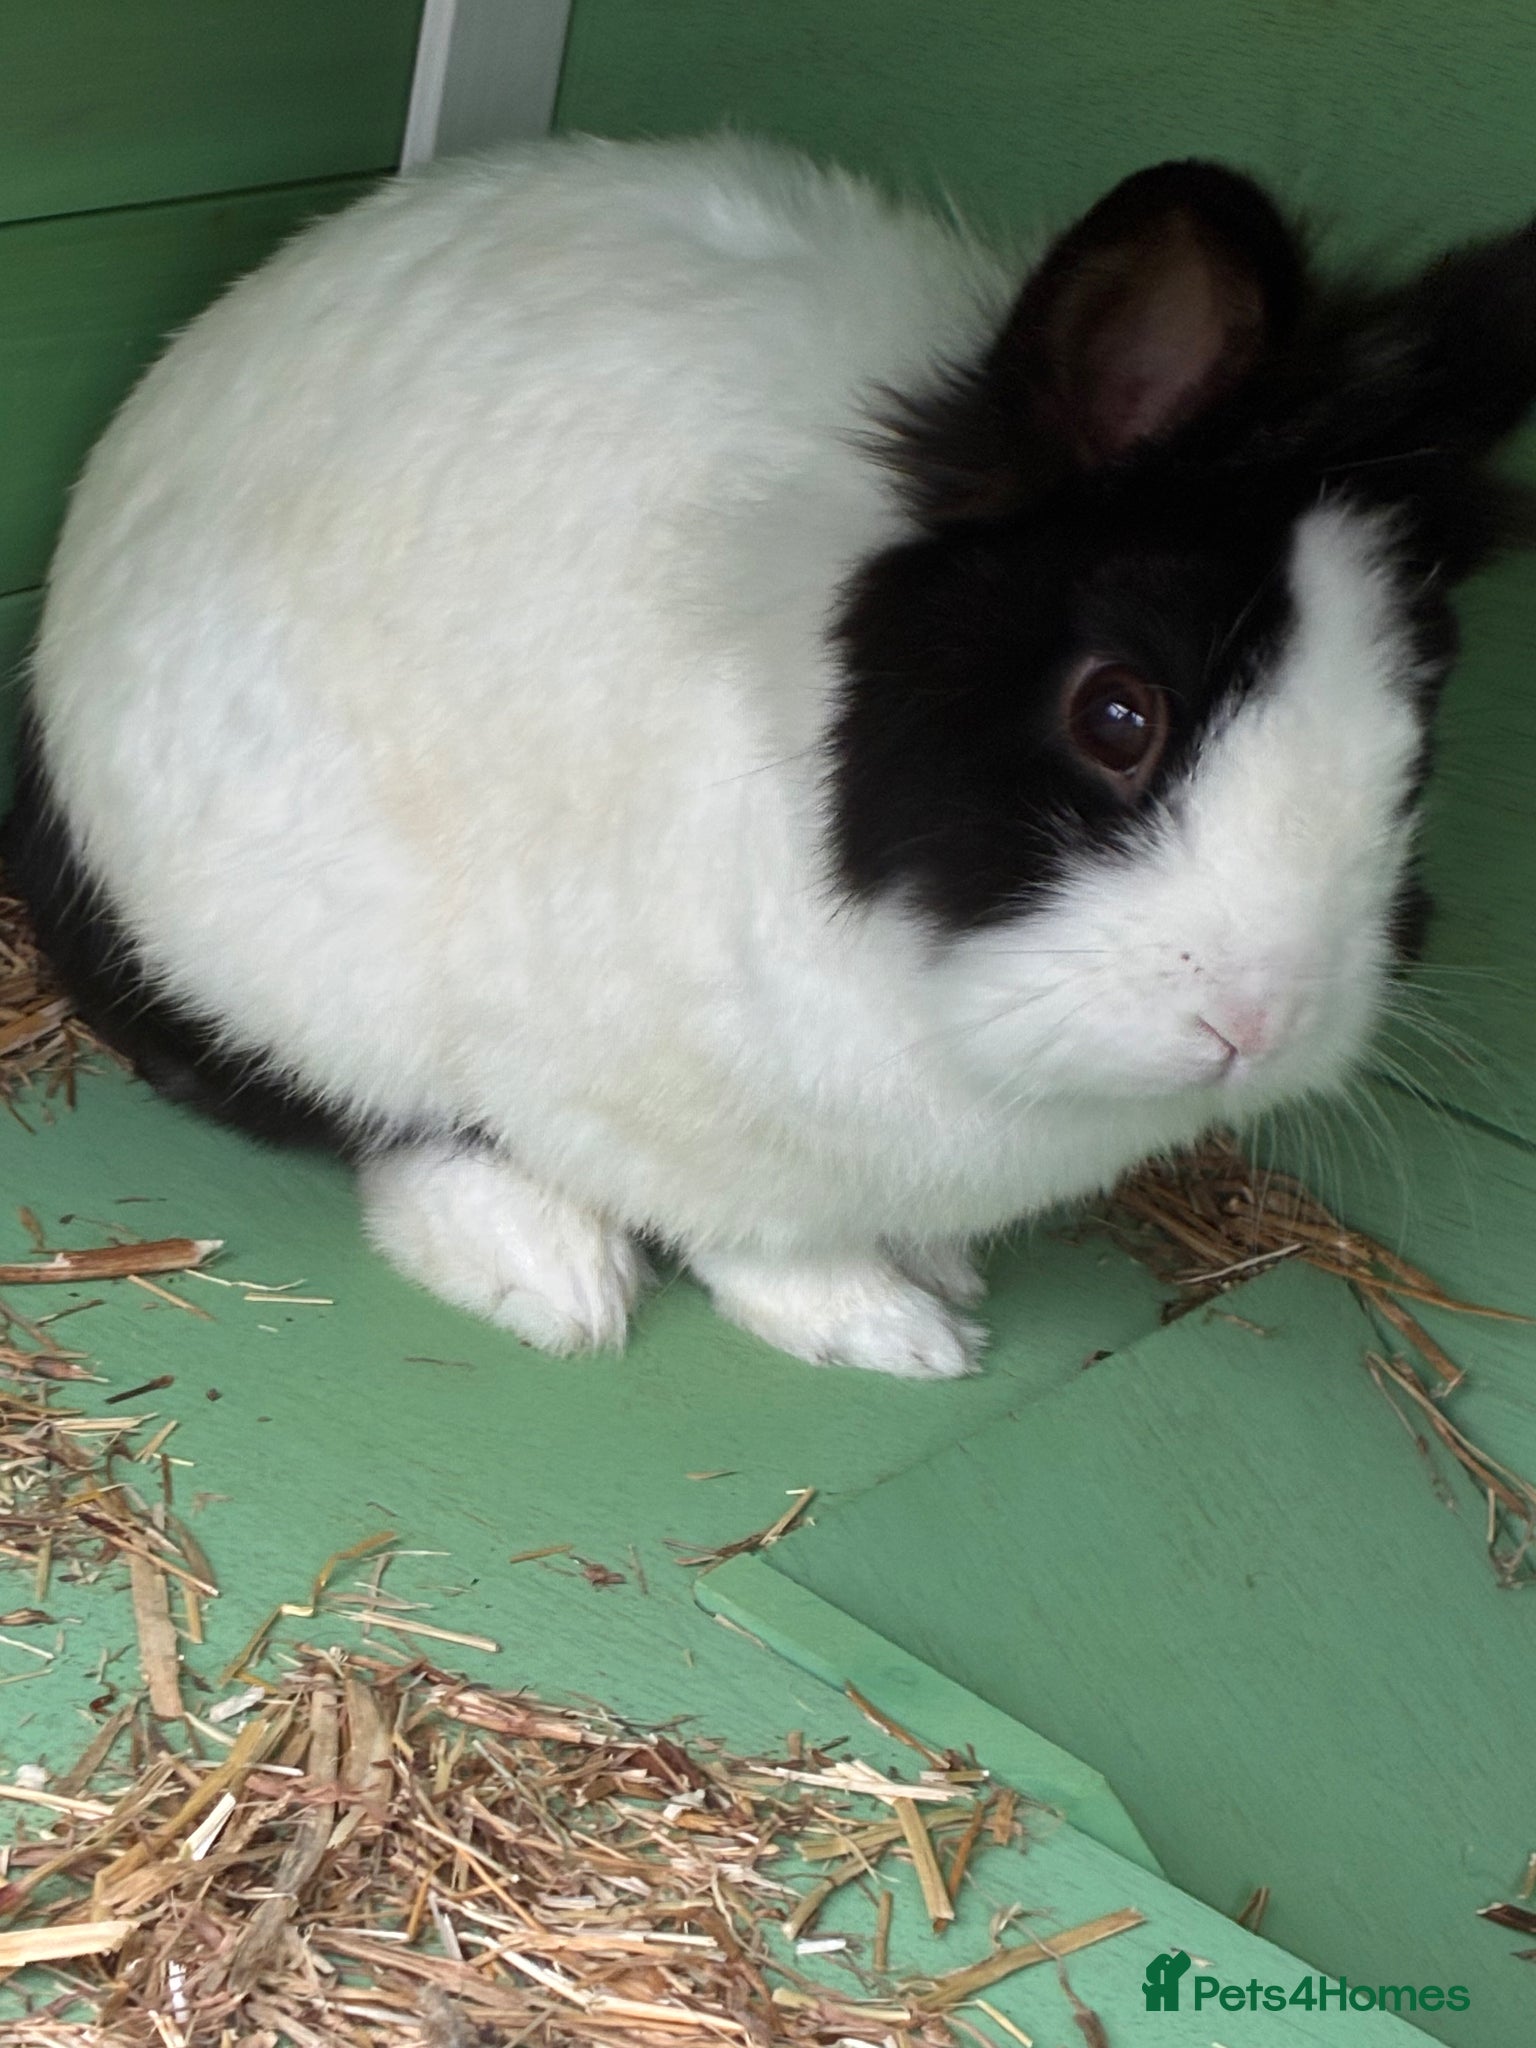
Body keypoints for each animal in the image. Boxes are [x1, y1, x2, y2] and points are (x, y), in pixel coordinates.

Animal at [7, 134, 1536, 1377]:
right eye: (1118, 713)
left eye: (1416, 731)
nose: (1258, 1024)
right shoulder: (655, 1097)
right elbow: (759, 1235)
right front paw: (887, 1334)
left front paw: (931, 1276)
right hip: (269, 945)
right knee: (373, 1113)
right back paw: (549, 1276)